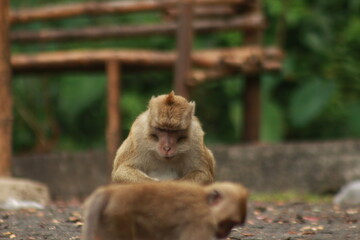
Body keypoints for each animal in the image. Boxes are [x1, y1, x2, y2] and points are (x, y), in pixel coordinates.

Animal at [81, 182, 248, 240]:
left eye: (233, 225)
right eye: (228, 223)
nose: (225, 234)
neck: (205, 201)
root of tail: (111, 191)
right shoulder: (200, 222)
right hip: (118, 218)